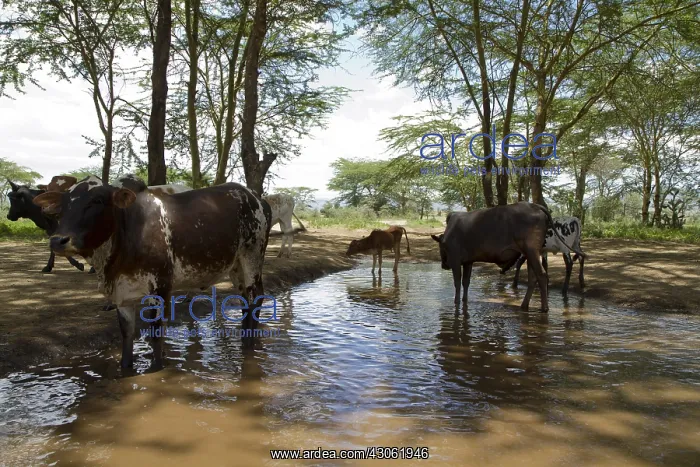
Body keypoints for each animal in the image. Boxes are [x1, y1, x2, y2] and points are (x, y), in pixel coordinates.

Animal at [33, 175, 272, 368]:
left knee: (255, 297)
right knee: (244, 299)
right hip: (236, 266)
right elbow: (127, 335)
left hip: (252, 256)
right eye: (63, 205)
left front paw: (157, 368)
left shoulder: (160, 287)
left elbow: (156, 334)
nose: (58, 240)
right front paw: (126, 368)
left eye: (97, 201)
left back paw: (249, 344)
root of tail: (255, 197)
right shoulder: (122, 293)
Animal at [431, 202, 584, 312]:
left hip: (532, 251)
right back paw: (524, 305)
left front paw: (456, 302)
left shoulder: (456, 260)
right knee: (533, 278)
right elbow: (465, 282)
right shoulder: (469, 261)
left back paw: (544, 308)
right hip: (531, 254)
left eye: (441, 247)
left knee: (541, 275)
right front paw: (464, 301)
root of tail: (534, 205)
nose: (443, 265)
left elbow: (457, 282)